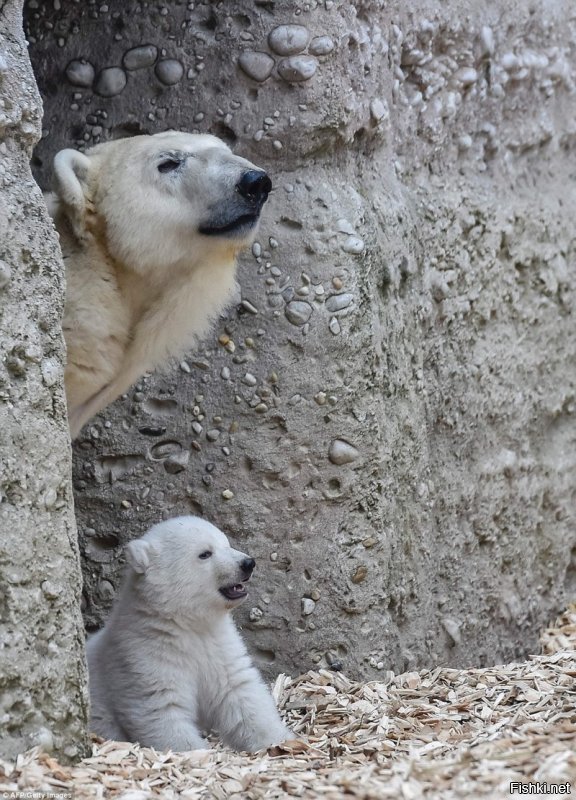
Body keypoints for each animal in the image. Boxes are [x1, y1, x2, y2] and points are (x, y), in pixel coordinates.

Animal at [86, 516, 292, 752]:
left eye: (226, 543)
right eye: (205, 553)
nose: (248, 563)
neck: (186, 623)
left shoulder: (218, 644)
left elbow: (240, 691)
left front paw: (281, 740)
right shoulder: (144, 654)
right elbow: (163, 708)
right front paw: (197, 751)